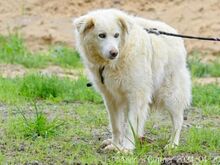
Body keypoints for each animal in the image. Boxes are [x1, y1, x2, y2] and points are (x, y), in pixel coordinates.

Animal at [73, 8, 191, 151]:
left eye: (116, 35)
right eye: (101, 35)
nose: (114, 53)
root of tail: (175, 34)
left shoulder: (136, 94)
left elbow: (131, 124)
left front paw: (127, 148)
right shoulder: (110, 97)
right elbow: (116, 126)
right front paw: (115, 145)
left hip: (170, 94)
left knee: (178, 120)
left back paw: (173, 144)